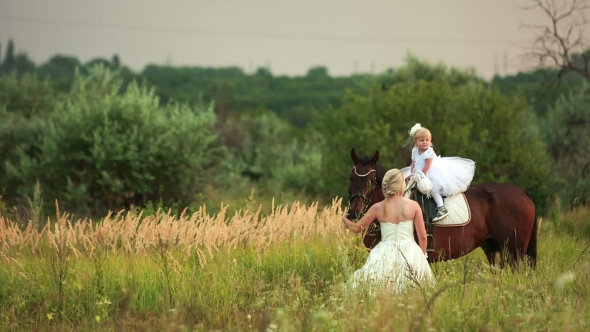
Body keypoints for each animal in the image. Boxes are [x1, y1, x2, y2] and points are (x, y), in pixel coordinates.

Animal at [350, 149, 540, 268]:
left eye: (371, 181)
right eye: (351, 178)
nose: (354, 212)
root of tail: (522, 193)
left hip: (514, 252)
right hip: (492, 248)